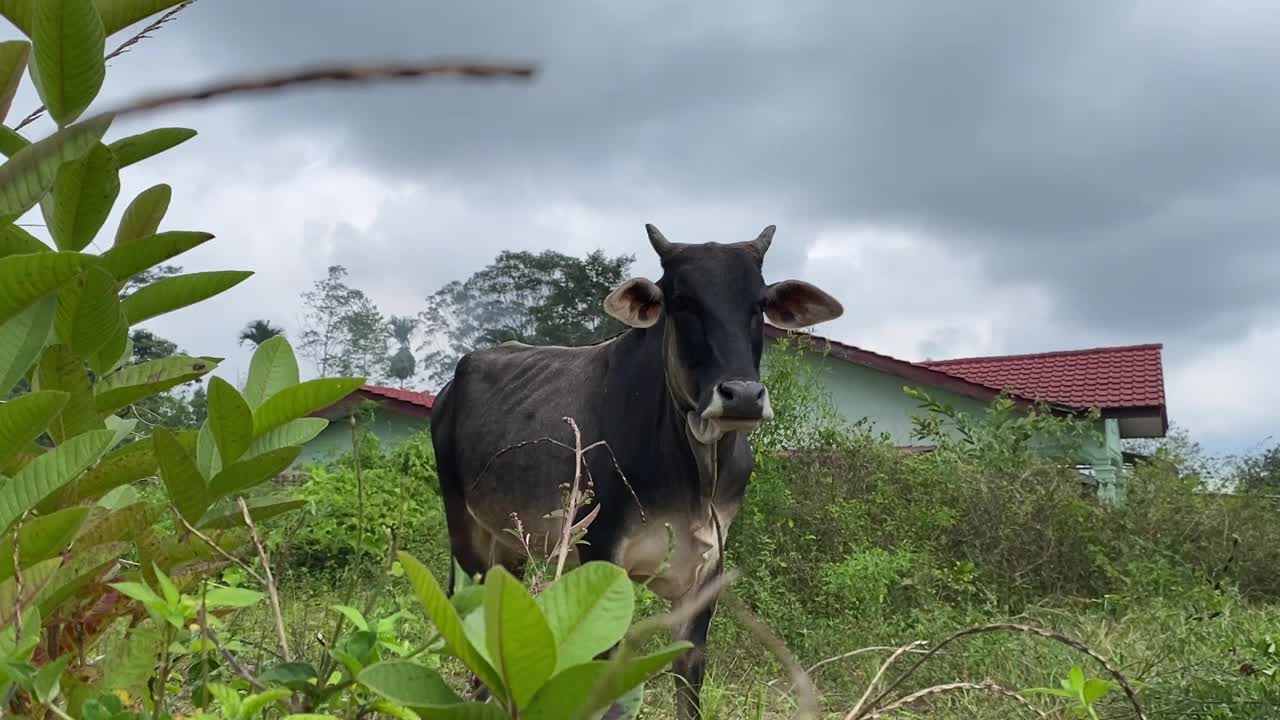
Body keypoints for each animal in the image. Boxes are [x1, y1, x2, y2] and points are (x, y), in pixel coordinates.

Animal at [435, 221, 844, 712]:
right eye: (682, 301)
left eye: (759, 304)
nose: (742, 396)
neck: (696, 472)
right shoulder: (602, 552)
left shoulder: (706, 572)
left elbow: (688, 679)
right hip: (465, 536)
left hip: (510, 548)